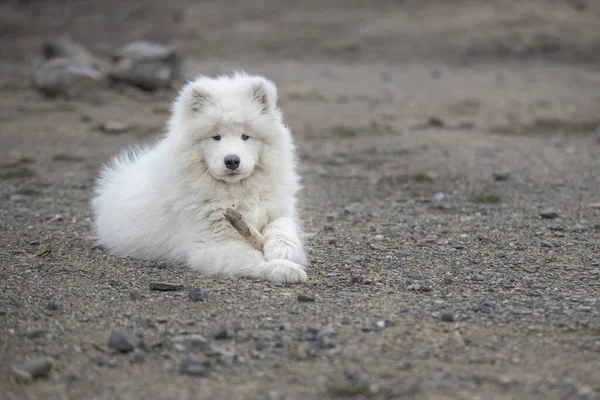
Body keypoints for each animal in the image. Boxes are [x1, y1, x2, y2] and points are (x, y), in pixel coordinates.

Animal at [94, 72, 310, 284]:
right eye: (216, 137)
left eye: (245, 136)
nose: (232, 160)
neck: (236, 192)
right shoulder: (210, 243)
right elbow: (249, 257)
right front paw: (282, 268)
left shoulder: (277, 209)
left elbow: (283, 225)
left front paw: (283, 251)